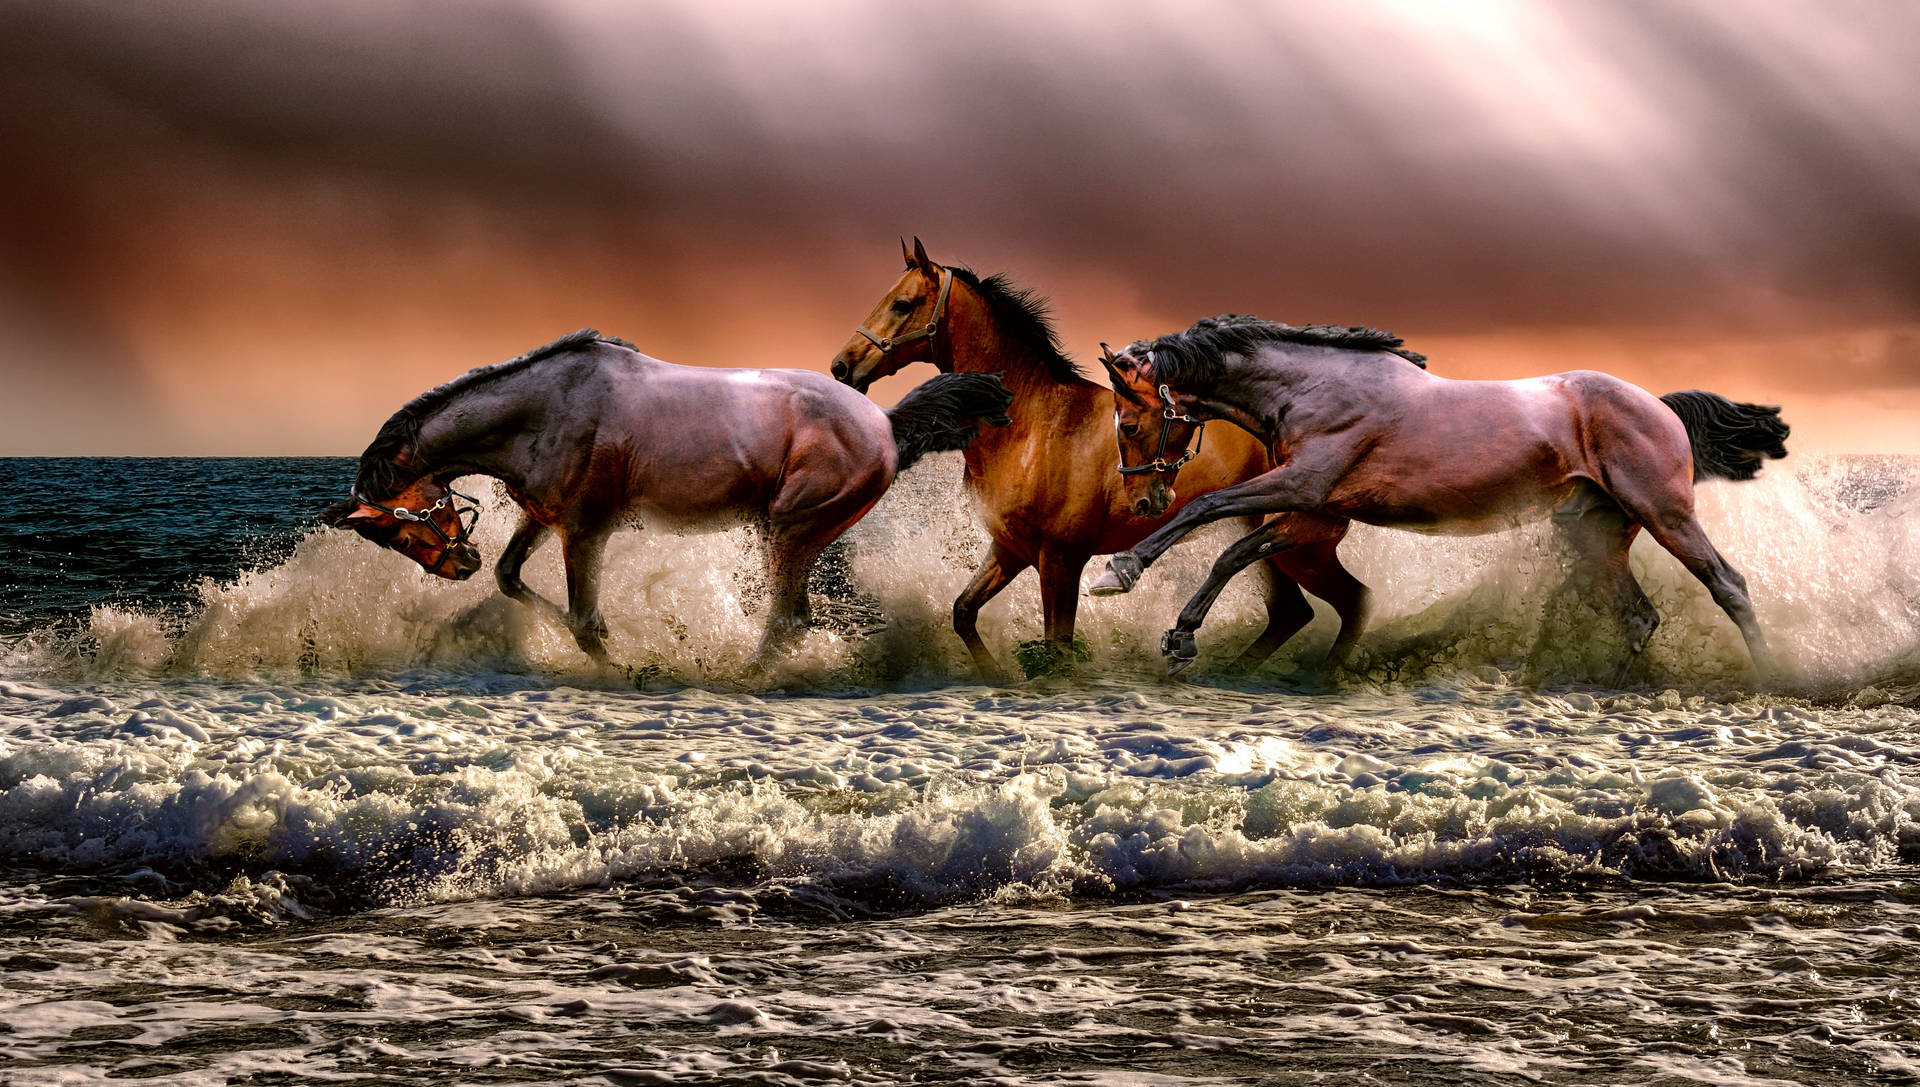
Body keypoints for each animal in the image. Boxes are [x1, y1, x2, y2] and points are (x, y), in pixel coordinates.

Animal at [316, 332, 1013, 668]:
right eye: (387, 536)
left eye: (399, 520)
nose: (458, 565)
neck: (544, 410)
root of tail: (887, 424)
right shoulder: (543, 518)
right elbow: (512, 578)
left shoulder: (586, 530)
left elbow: (585, 621)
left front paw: (621, 663)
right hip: (790, 536)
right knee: (796, 618)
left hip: (790, 530)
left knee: (785, 622)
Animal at [825, 241, 1367, 683]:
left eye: (901, 304)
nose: (841, 366)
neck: (1034, 427)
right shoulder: (1011, 550)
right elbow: (963, 612)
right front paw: (995, 676)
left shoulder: (1061, 560)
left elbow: (1057, 649)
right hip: (1273, 547)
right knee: (1296, 612)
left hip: (1298, 548)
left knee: (1345, 604)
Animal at [1098, 311, 1797, 683]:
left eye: (1128, 425)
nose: (1144, 500)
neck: (1311, 388)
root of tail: (1658, 405)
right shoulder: (1312, 514)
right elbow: (1233, 553)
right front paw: (1181, 637)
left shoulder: (1303, 486)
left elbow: (1206, 510)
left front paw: (1120, 571)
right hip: (1595, 534)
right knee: (1639, 617)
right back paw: (1600, 690)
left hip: (1664, 514)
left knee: (1728, 585)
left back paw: (1773, 676)